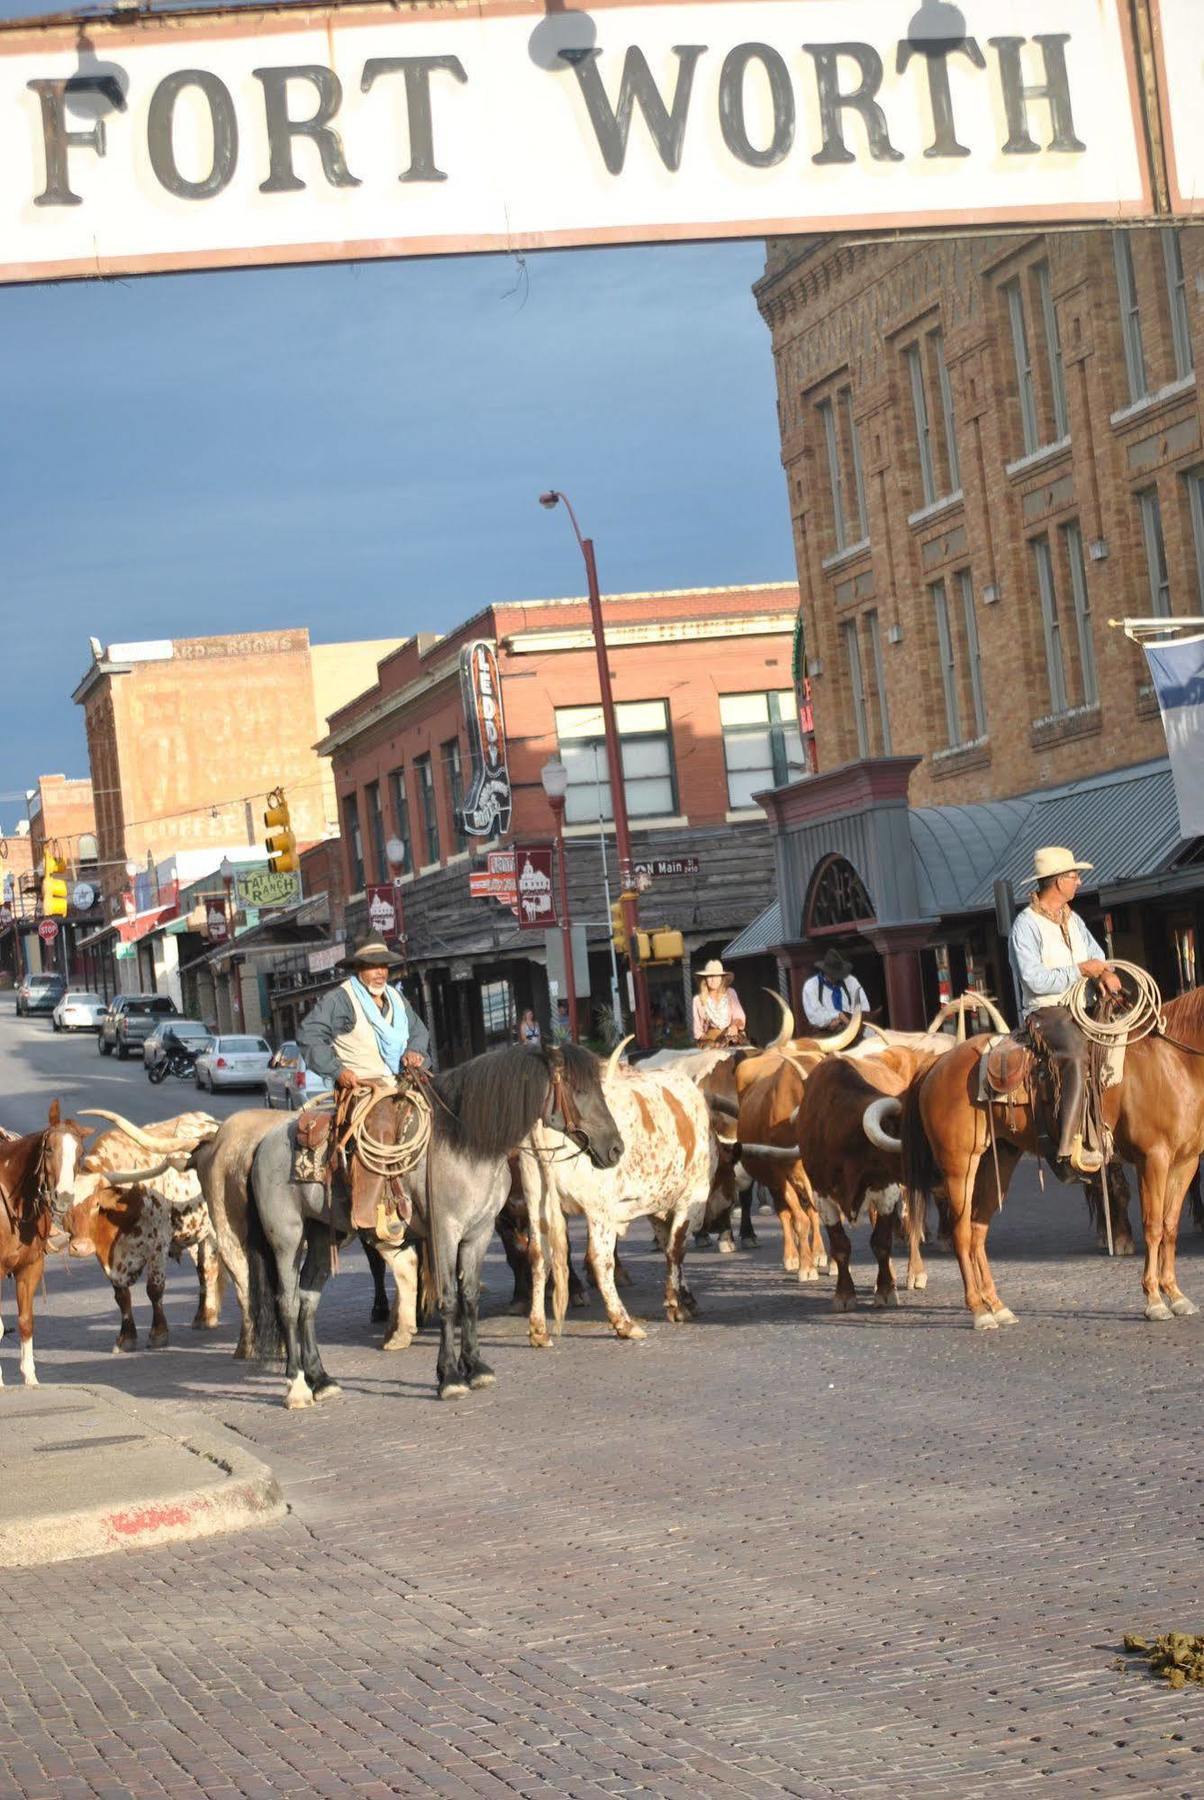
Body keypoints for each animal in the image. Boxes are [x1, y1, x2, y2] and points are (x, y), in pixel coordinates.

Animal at [0, 1094, 91, 1389]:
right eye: (49, 1149)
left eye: (80, 1153)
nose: (63, 1197)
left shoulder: (30, 1268)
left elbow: (26, 1321)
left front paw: (30, 1377)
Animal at [241, 1044, 626, 1404]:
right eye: (580, 1090)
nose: (616, 1148)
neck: (467, 1146)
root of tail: (264, 1143)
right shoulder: (445, 1233)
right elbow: (449, 1298)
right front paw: (450, 1376)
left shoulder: (479, 1233)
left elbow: (469, 1296)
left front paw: (476, 1367)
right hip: (286, 1239)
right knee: (287, 1303)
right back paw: (296, 1386)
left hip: (323, 1236)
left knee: (308, 1301)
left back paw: (321, 1379)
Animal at [892, 979, 1204, 1332]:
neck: (1174, 1063)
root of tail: (936, 1064)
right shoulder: (1153, 1159)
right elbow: (1153, 1226)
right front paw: (1153, 1300)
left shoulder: (1186, 1162)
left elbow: (1170, 1226)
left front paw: (1175, 1295)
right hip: (959, 1165)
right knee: (960, 1232)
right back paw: (979, 1310)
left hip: (998, 1161)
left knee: (977, 1229)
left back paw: (997, 1305)